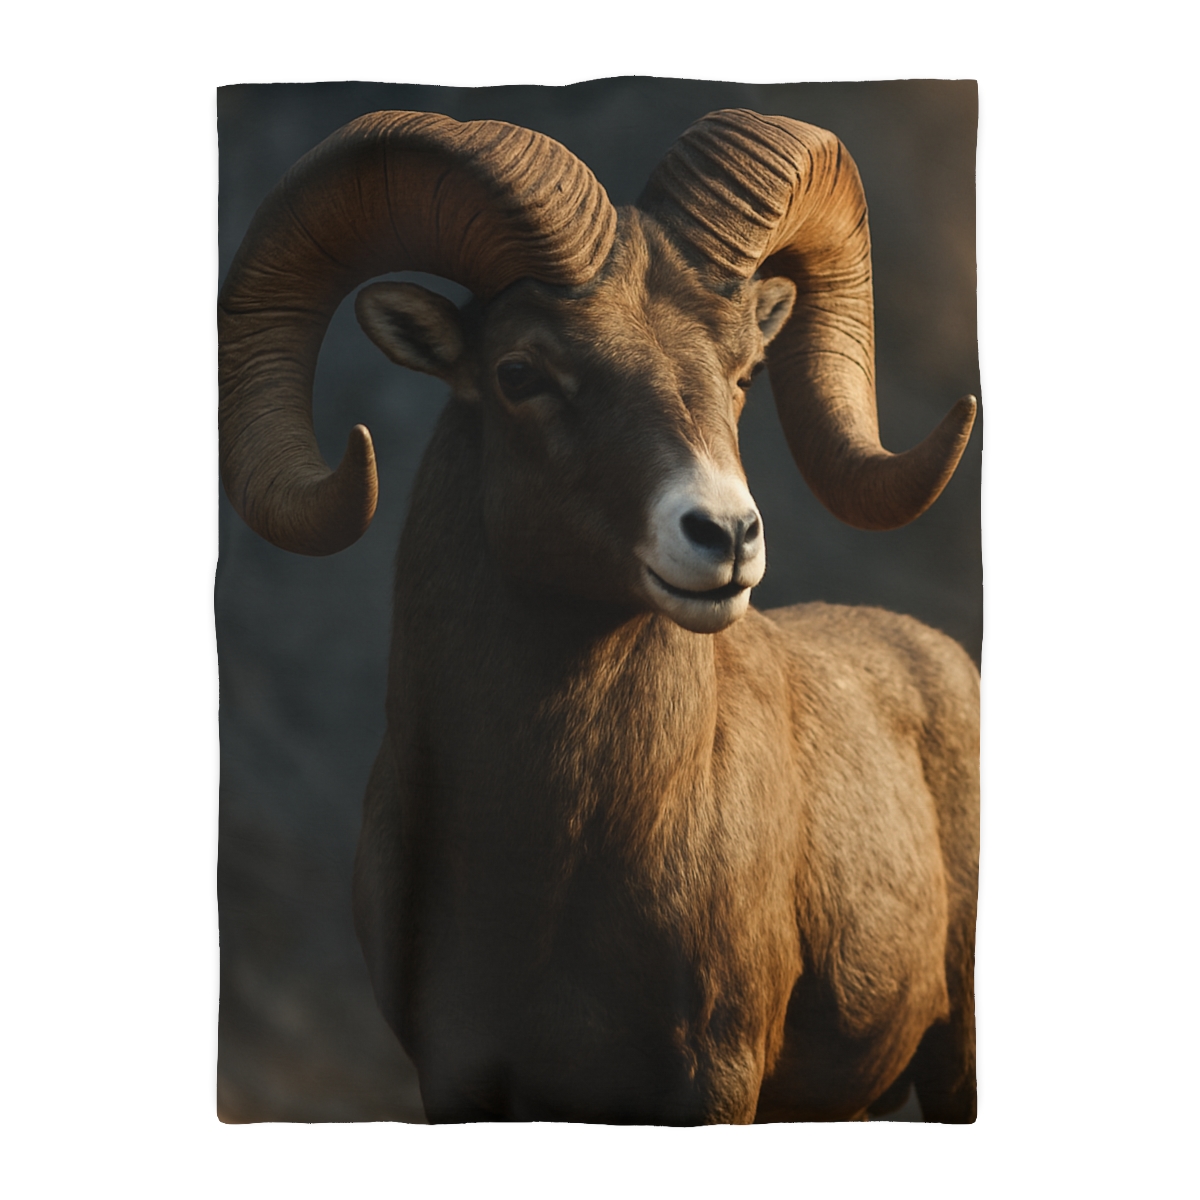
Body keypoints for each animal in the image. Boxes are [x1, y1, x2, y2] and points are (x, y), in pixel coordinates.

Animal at [218, 108, 979, 1124]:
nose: (725, 535)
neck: (548, 869)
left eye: (743, 372)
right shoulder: (457, 1079)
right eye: (520, 371)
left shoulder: (713, 1079)